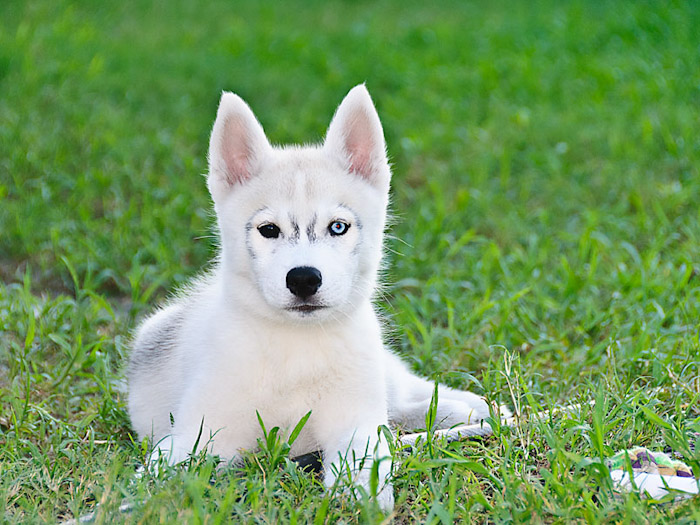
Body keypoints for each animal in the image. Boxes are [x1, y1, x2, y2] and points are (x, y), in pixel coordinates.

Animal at [127, 85, 497, 511]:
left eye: (338, 227)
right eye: (269, 230)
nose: (304, 279)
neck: (296, 351)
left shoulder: (355, 423)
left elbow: (365, 461)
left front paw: (363, 501)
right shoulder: (198, 433)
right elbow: (156, 474)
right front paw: (129, 500)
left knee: (404, 397)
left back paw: (465, 408)